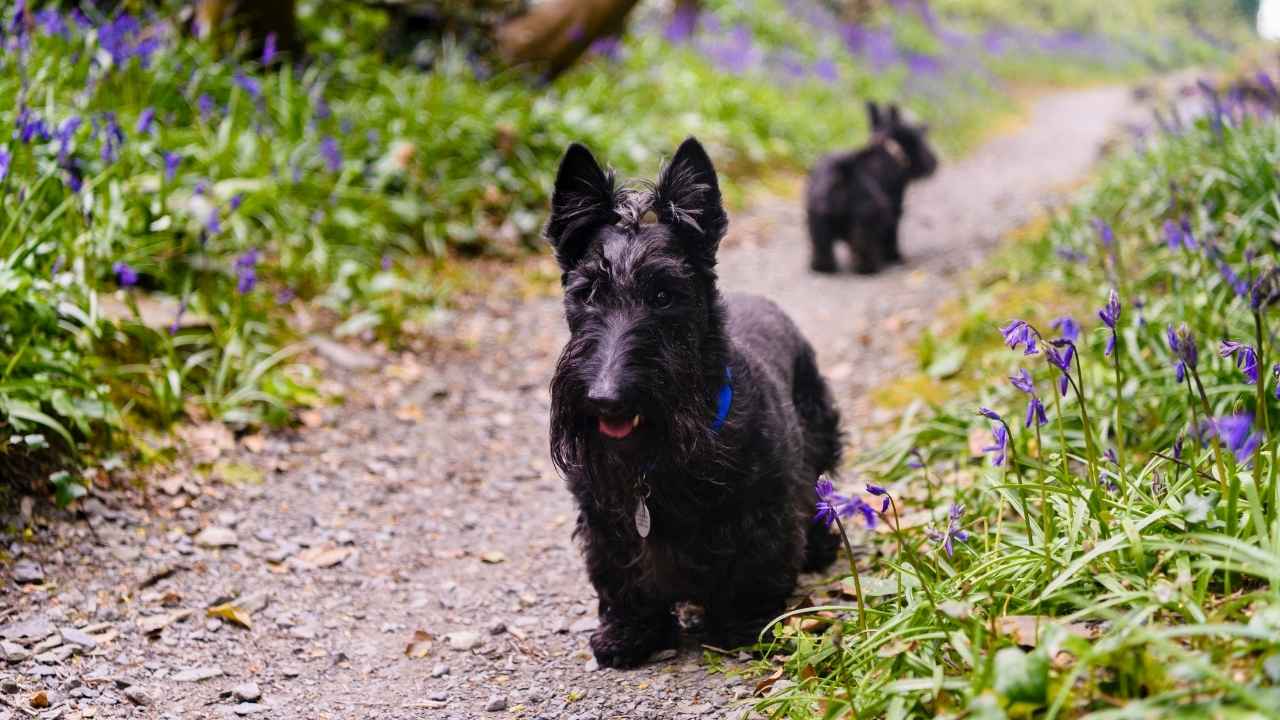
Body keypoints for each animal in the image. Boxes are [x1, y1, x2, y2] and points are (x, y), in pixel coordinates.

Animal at [545, 135, 844, 666]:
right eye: (587, 293)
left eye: (664, 295)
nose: (606, 399)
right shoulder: (605, 522)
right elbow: (622, 580)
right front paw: (630, 635)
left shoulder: (761, 512)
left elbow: (755, 568)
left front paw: (744, 625)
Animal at [803, 98, 936, 271]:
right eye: (919, 137)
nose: (934, 162)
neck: (890, 150)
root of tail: (843, 174)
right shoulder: (895, 208)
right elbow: (892, 235)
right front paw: (895, 257)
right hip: (865, 221)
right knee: (863, 249)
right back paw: (869, 266)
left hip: (817, 221)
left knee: (822, 249)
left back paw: (822, 266)